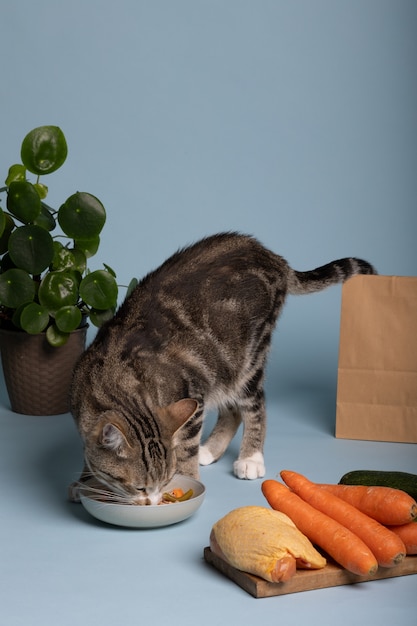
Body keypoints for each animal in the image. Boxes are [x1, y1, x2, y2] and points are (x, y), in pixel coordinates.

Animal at [68, 230, 374, 502]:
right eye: (139, 487)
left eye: (162, 483)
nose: (153, 498)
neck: (114, 376)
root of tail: (273, 258)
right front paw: (84, 482)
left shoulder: (191, 392)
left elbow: (186, 448)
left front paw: (188, 481)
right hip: (222, 365)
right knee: (231, 407)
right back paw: (211, 451)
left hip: (247, 356)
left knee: (254, 405)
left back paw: (250, 457)